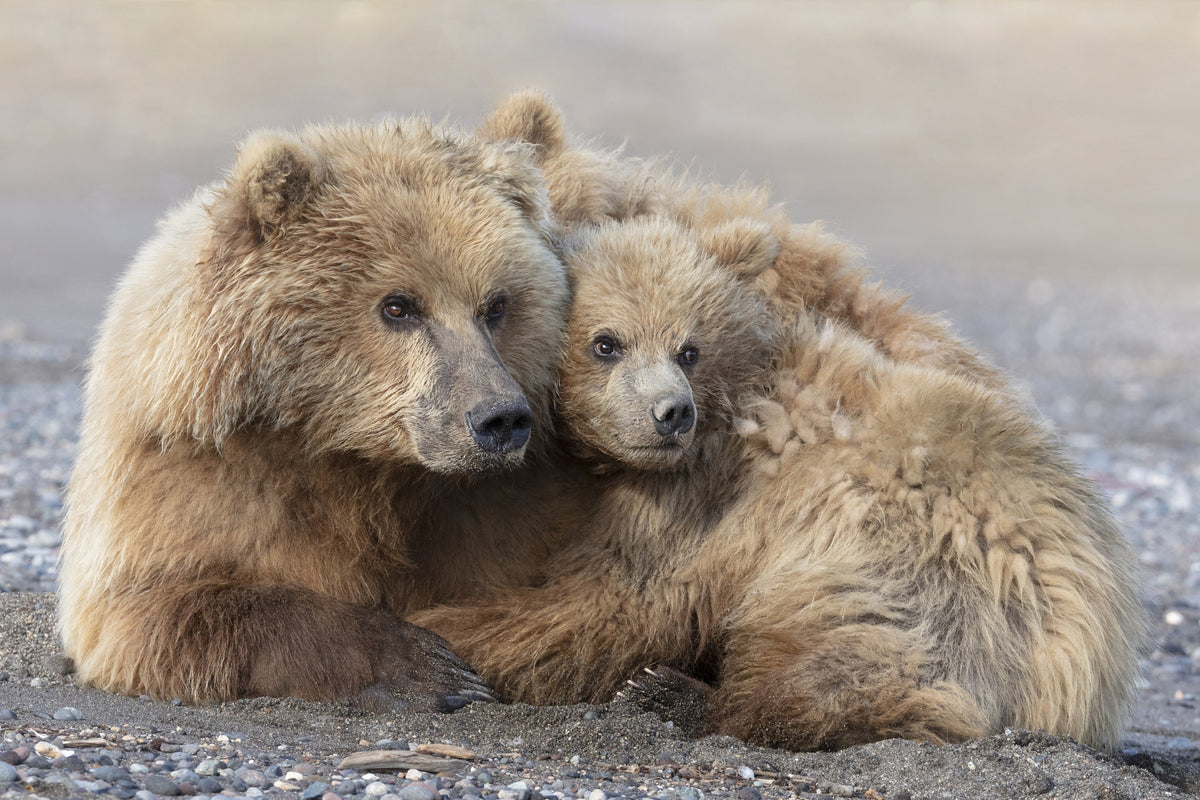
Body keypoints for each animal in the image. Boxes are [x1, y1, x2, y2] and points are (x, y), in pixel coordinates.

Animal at [57, 116, 575, 710]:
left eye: (496, 305)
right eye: (398, 306)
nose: (500, 419)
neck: (346, 455)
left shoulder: (496, 510)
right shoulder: (192, 481)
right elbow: (156, 609)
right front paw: (430, 665)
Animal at [411, 213, 1145, 751]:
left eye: (688, 347)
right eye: (606, 343)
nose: (671, 413)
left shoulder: (703, 502)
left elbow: (610, 601)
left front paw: (438, 632)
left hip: (910, 573)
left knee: (853, 663)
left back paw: (677, 695)